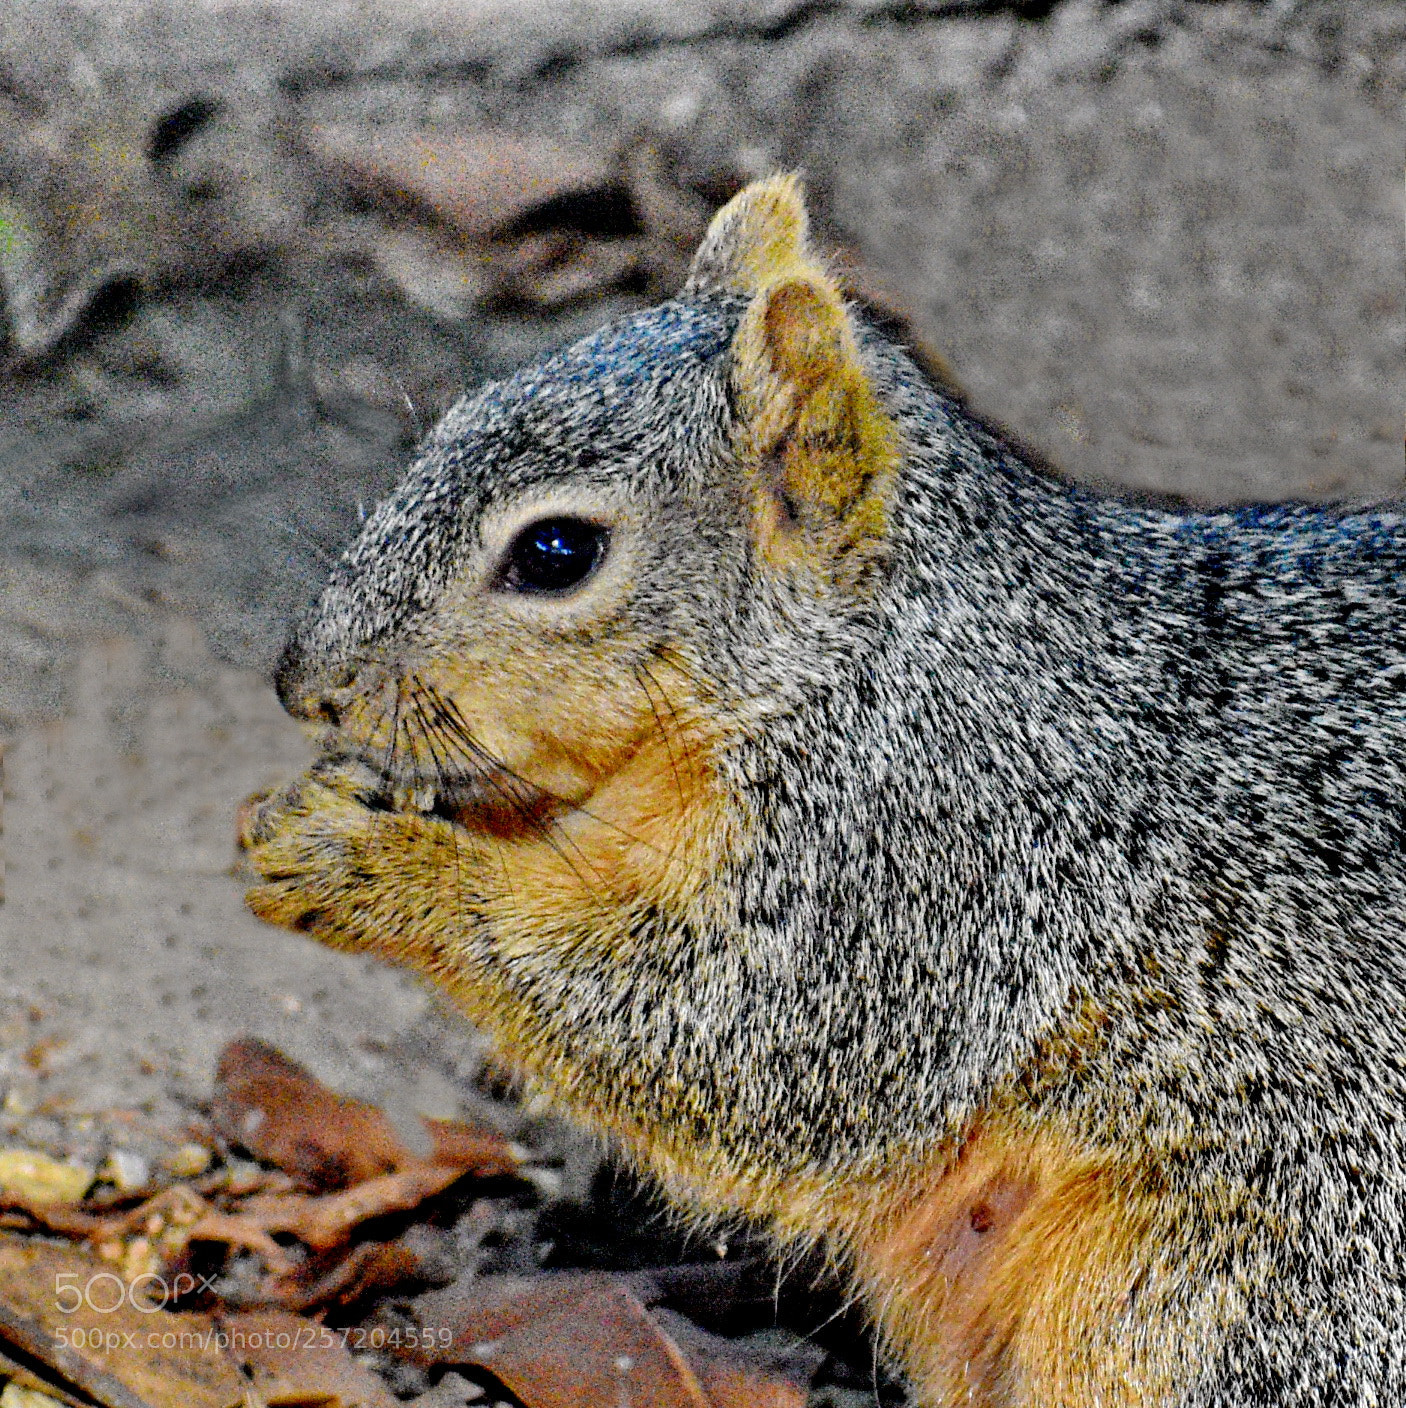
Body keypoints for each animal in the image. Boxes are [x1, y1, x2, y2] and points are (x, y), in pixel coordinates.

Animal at [242, 175, 1406, 1406]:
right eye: (451, 425)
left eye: (556, 553)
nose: (304, 685)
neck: (849, 657)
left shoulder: (936, 853)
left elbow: (743, 1040)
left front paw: (371, 866)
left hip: (1221, 1290)